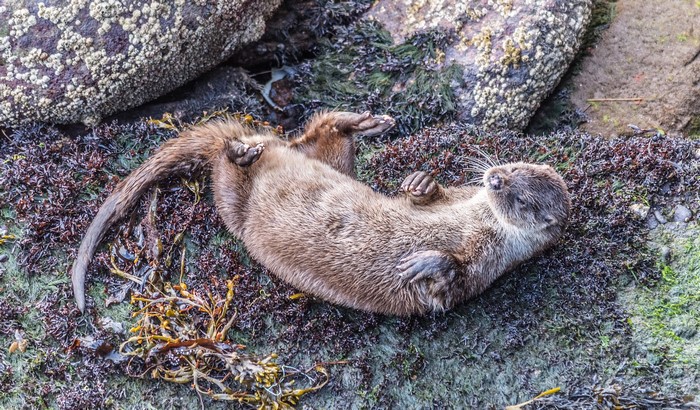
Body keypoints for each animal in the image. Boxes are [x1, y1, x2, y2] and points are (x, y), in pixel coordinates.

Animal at [71, 111, 570, 315]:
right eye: (517, 165)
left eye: (524, 201)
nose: (496, 179)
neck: (475, 218)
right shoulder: (458, 199)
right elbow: (423, 198)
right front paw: (420, 182)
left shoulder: (487, 264)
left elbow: (452, 279)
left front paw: (427, 261)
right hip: (313, 156)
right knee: (314, 132)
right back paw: (365, 121)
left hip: (238, 208)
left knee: (232, 170)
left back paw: (241, 152)